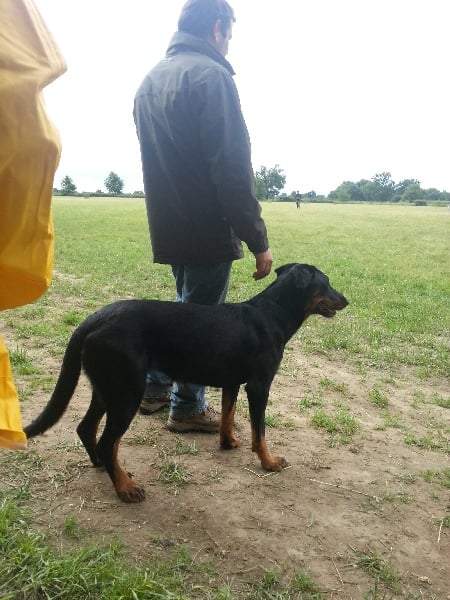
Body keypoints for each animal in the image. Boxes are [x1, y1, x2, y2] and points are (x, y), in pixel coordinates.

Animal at [25, 263, 348, 502]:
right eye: (327, 282)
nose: (346, 300)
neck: (272, 314)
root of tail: (94, 319)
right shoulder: (259, 386)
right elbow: (260, 432)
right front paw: (269, 462)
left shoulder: (232, 383)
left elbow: (228, 416)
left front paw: (228, 442)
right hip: (127, 391)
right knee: (107, 442)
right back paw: (125, 488)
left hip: (109, 388)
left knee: (86, 428)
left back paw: (105, 468)